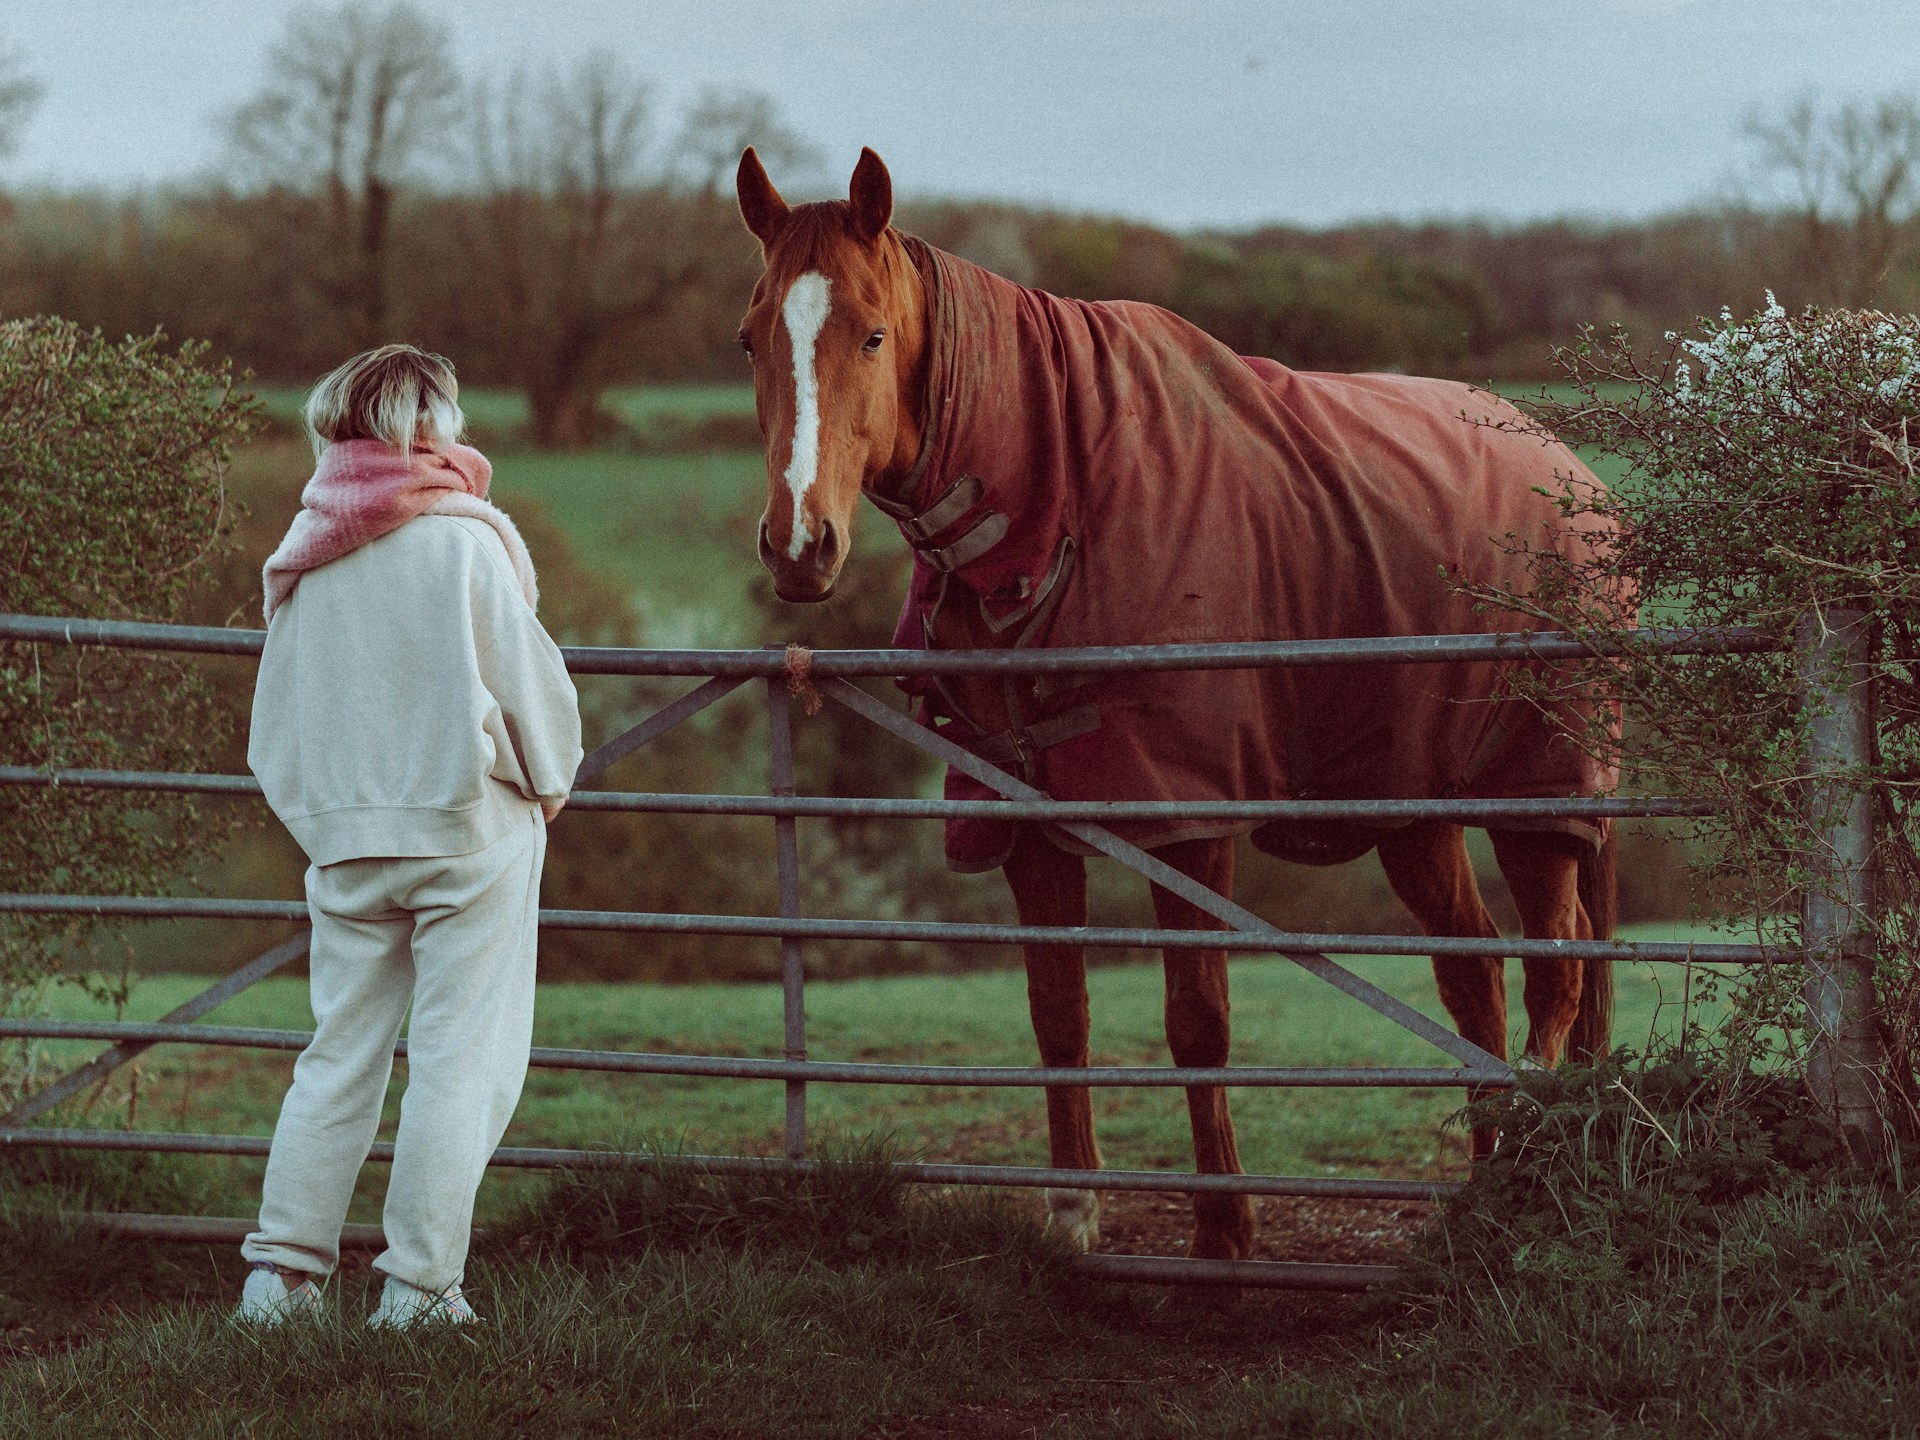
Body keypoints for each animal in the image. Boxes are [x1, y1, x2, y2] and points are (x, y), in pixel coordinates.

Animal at [732, 146, 1621, 1261]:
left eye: (874, 333)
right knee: (1477, 976)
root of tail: (1579, 476)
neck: (1059, 498)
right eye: (750, 337)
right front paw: (1072, 1217)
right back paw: (1486, 1174)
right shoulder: (1021, 815)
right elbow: (1057, 1011)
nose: (798, 546)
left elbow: (1198, 1019)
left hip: (1540, 797)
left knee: (1557, 972)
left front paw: (1223, 1231)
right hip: (1414, 808)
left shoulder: (1186, 818)